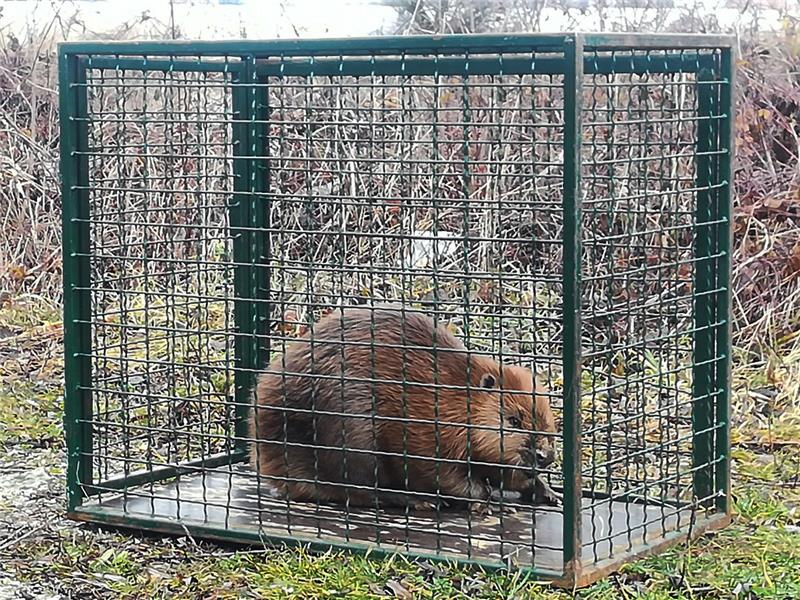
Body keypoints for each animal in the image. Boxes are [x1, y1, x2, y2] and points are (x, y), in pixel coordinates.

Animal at [248, 304, 556, 510]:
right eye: (513, 420)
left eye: (548, 420)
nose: (546, 456)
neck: (452, 393)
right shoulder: (424, 433)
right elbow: (441, 474)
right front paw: (492, 501)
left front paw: (544, 490)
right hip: (351, 435)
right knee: (359, 489)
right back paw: (417, 501)